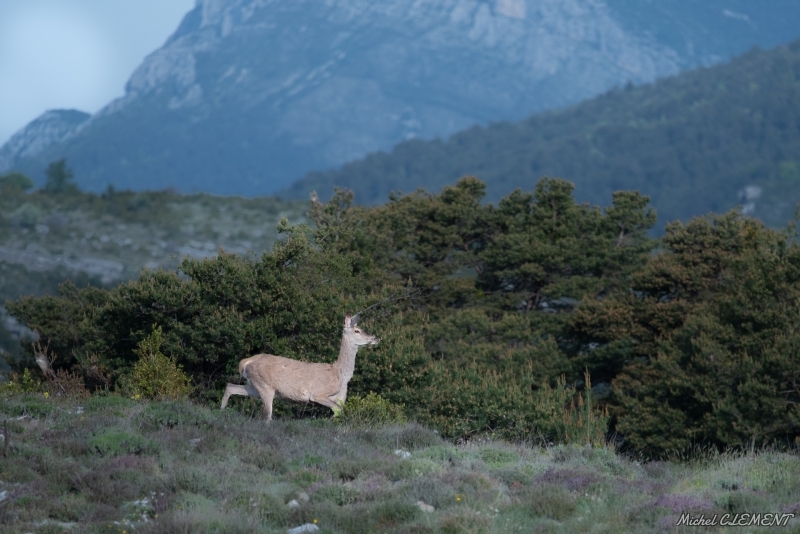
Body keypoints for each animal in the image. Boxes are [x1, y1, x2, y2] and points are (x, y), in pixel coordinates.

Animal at [220, 314, 380, 422]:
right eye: (357, 331)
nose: (375, 338)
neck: (340, 374)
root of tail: (246, 362)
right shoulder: (318, 394)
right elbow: (338, 409)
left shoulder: (341, 398)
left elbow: (340, 410)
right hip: (265, 385)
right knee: (267, 416)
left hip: (254, 386)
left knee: (230, 387)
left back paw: (221, 412)